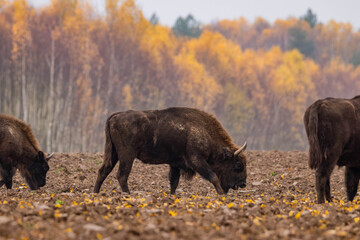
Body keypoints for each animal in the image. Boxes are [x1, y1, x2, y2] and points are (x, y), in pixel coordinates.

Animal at [94, 108, 249, 194]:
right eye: (238, 165)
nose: (243, 183)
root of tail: (115, 116)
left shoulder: (175, 164)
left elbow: (174, 182)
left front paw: (171, 196)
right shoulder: (197, 161)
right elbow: (213, 176)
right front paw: (221, 195)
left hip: (113, 153)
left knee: (104, 170)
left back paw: (95, 193)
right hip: (127, 155)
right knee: (122, 175)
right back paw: (128, 195)